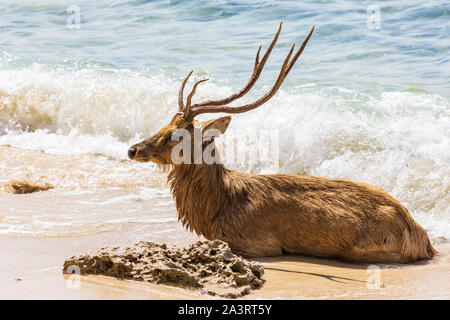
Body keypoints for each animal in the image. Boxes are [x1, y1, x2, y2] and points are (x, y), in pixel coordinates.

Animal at [127, 21, 436, 262]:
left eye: (174, 135)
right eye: (165, 123)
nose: (133, 149)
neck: (219, 206)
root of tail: (424, 238)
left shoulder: (259, 244)